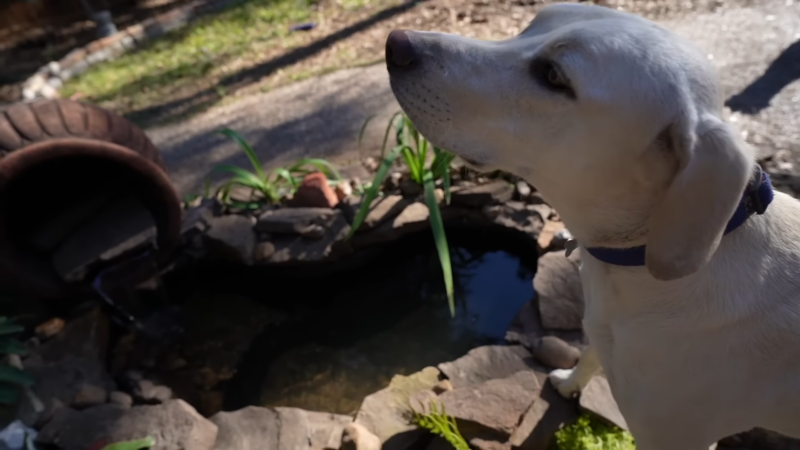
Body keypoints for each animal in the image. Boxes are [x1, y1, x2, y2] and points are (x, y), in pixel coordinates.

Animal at [382, 3, 800, 450]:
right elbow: (588, 355)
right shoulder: (600, 329)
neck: (636, 259)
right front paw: (568, 382)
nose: (396, 43)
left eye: (553, 75)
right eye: (532, 25)